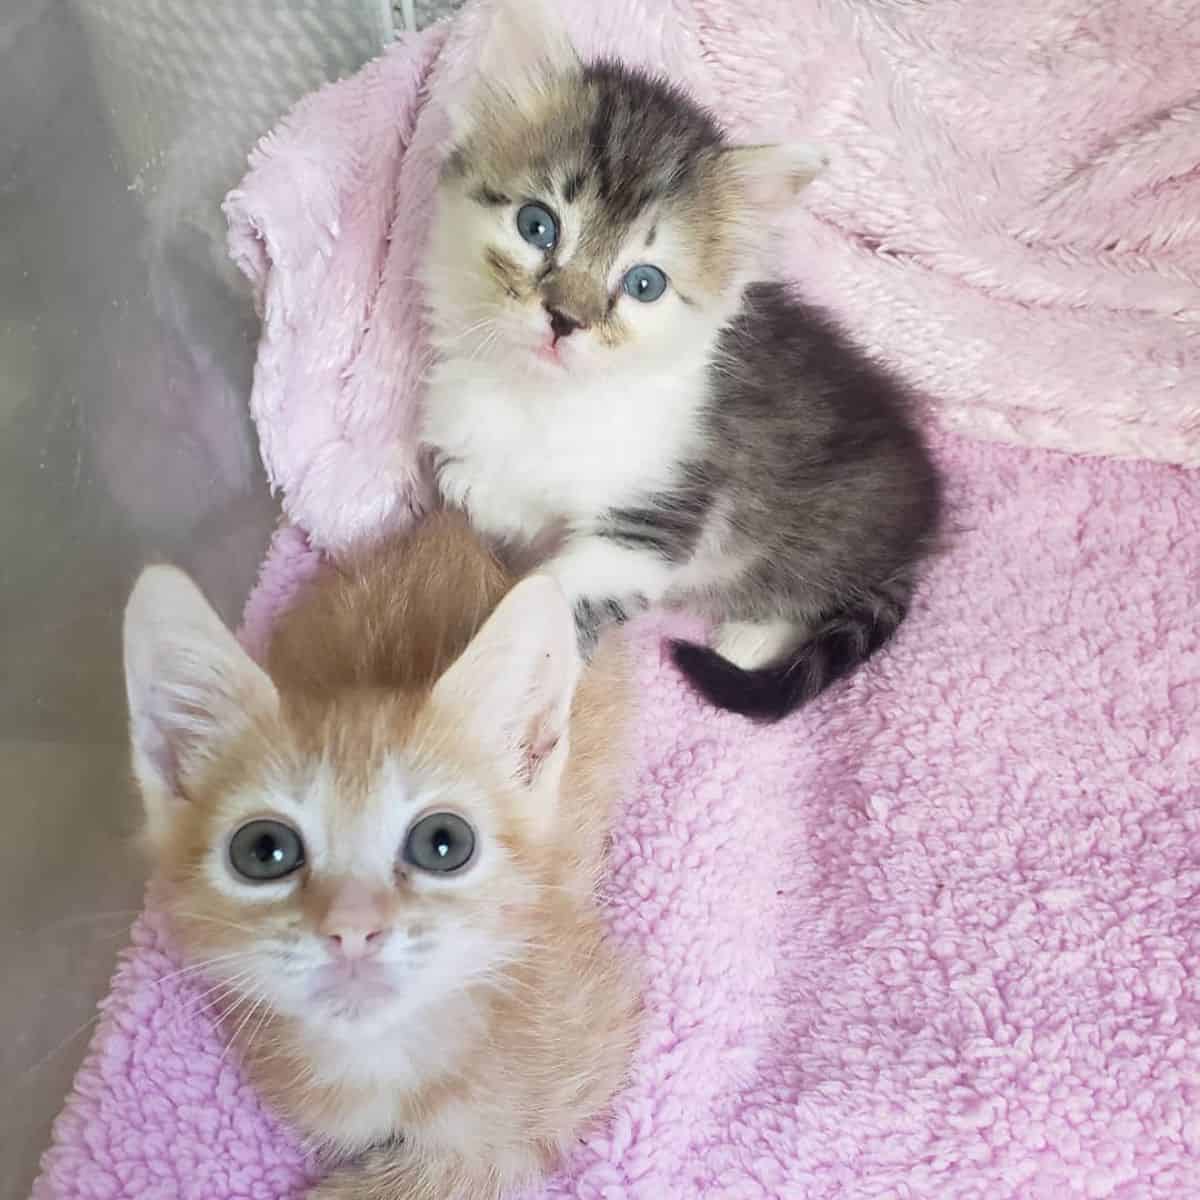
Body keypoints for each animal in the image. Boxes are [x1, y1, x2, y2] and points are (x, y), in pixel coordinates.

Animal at [124, 513, 638, 1200]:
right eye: (263, 851)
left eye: (443, 843)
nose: (351, 928)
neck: (381, 1061)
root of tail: (452, 526)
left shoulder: (588, 1055)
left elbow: (463, 1165)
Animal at [420, 0, 936, 720]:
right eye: (536, 225)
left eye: (645, 283)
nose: (565, 321)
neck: (544, 398)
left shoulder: (656, 520)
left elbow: (562, 596)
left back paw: (753, 636)